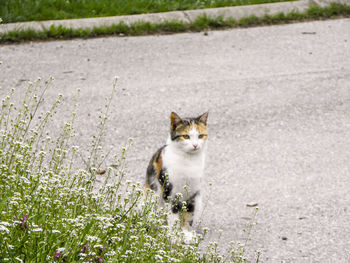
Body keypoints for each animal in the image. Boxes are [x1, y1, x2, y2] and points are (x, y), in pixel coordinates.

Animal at [145, 111, 208, 243]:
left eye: (200, 136)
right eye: (186, 136)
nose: (195, 145)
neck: (189, 161)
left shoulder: (192, 192)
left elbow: (188, 214)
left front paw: (187, 235)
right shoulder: (169, 191)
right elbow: (172, 215)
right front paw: (173, 235)